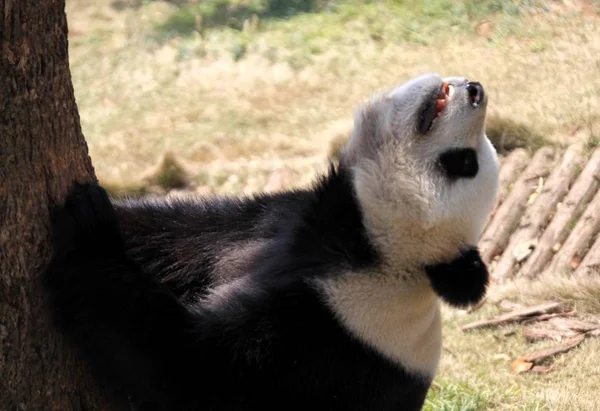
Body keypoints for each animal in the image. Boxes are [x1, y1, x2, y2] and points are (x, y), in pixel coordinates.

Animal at [42, 74, 500, 411]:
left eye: (463, 163)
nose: (475, 90)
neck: (369, 245)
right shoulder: (280, 222)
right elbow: (181, 237)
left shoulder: (333, 328)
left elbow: (192, 371)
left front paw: (90, 233)